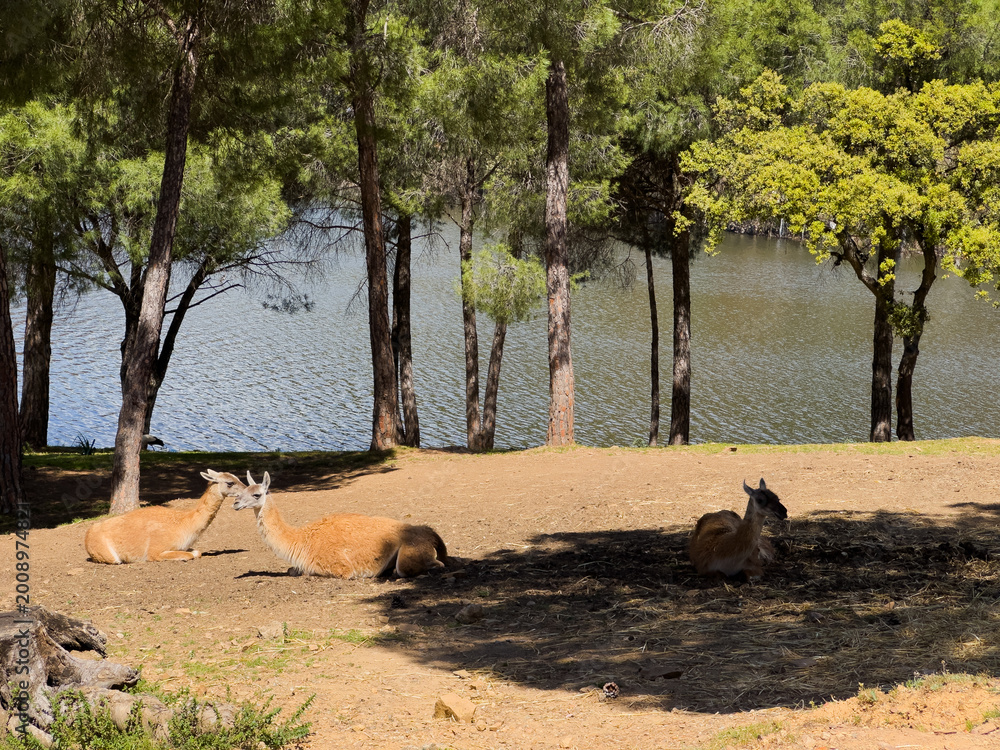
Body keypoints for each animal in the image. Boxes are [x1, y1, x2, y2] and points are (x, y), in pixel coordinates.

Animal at [84, 469, 246, 564]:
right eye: (230, 482)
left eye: (237, 477)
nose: (246, 490)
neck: (183, 523)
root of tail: (88, 534)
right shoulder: (155, 551)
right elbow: (189, 556)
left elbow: (197, 552)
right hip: (109, 555)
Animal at [233, 471, 450, 578]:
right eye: (241, 491)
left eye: (256, 494)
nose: (235, 503)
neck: (301, 540)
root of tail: (429, 533)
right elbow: (291, 570)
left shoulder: (340, 568)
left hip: (408, 554)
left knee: (424, 566)